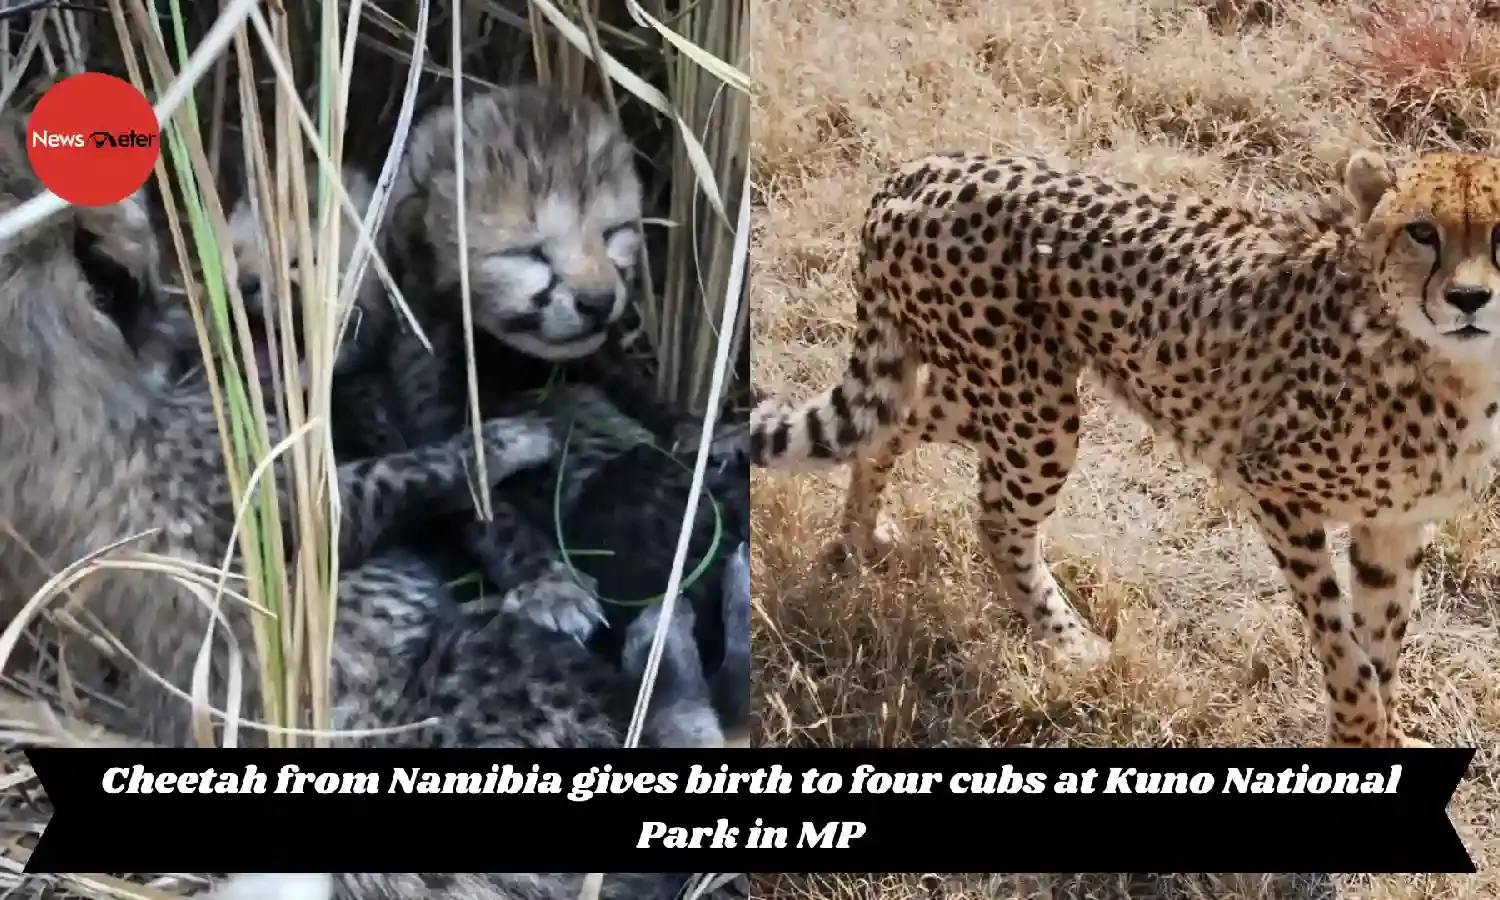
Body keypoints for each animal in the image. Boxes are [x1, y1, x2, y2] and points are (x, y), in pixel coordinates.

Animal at [749, 147, 1500, 749]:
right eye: (1422, 231)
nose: (1469, 299)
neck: (1452, 369)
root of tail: (926, 166)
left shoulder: (1393, 525)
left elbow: (1383, 641)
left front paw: (1385, 732)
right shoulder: (1275, 488)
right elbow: (1342, 643)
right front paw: (1359, 731)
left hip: (981, 391)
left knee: (887, 428)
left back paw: (860, 536)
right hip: (1034, 411)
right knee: (994, 516)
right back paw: (1069, 642)